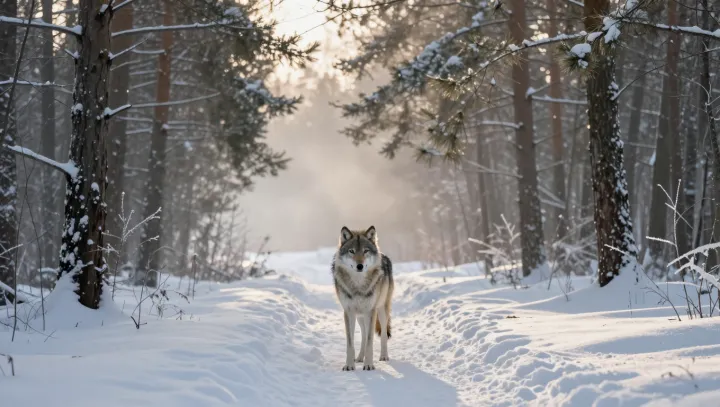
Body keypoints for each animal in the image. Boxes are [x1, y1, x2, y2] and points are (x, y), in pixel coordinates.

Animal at [331, 225, 394, 371]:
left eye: (365, 251)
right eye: (351, 251)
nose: (359, 266)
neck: (358, 285)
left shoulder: (371, 311)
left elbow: (370, 342)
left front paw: (369, 365)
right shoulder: (349, 312)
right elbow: (351, 343)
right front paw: (349, 365)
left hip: (381, 311)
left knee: (383, 333)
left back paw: (383, 356)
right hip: (360, 316)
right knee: (364, 335)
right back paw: (360, 357)